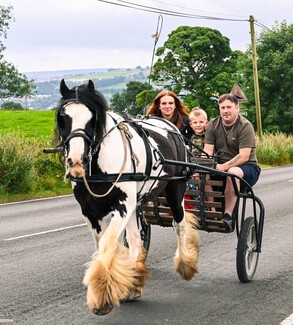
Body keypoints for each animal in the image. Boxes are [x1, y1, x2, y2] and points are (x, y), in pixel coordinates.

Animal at [54, 78, 198, 314]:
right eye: (62, 117)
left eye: (92, 117)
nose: (75, 162)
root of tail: (169, 126)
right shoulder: (90, 211)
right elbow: (103, 243)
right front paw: (116, 286)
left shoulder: (122, 205)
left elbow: (108, 243)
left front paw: (101, 295)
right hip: (135, 204)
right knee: (135, 239)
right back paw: (134, 282)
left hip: (174, 190)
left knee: (180, 224)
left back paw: (186, 264)